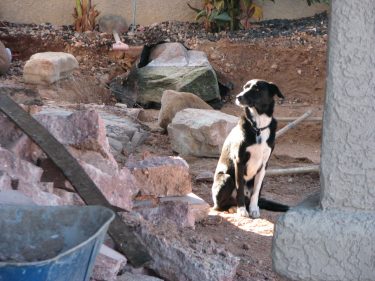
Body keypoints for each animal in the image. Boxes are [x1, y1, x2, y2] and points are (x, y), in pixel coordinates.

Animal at [213, 77, 290, 218]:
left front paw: (254, 209)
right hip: (226, 178)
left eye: (257, 89)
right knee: (220, 205)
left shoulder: (264, 165)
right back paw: (234, 208)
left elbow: (255, 193)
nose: (238, 97)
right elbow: (239, 188)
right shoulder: (239, 161)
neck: (258, 126)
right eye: (245, 87)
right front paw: (242, 210)